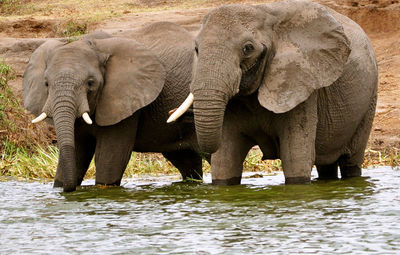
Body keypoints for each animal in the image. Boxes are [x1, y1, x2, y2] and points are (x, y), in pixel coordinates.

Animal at [22, 22, 203, 192]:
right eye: (46, 84)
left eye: (90, 83)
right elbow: (78, 151)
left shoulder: (125, 101)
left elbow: (109, 158)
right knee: (186, 162)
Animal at [169, 1, 378, 185]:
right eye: (196, 48)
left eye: (248, 48)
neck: (263, 13)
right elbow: (225, 160)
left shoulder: (301, 83)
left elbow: (296, 157)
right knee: (326, 166)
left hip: (369, 100)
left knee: (351, 161)